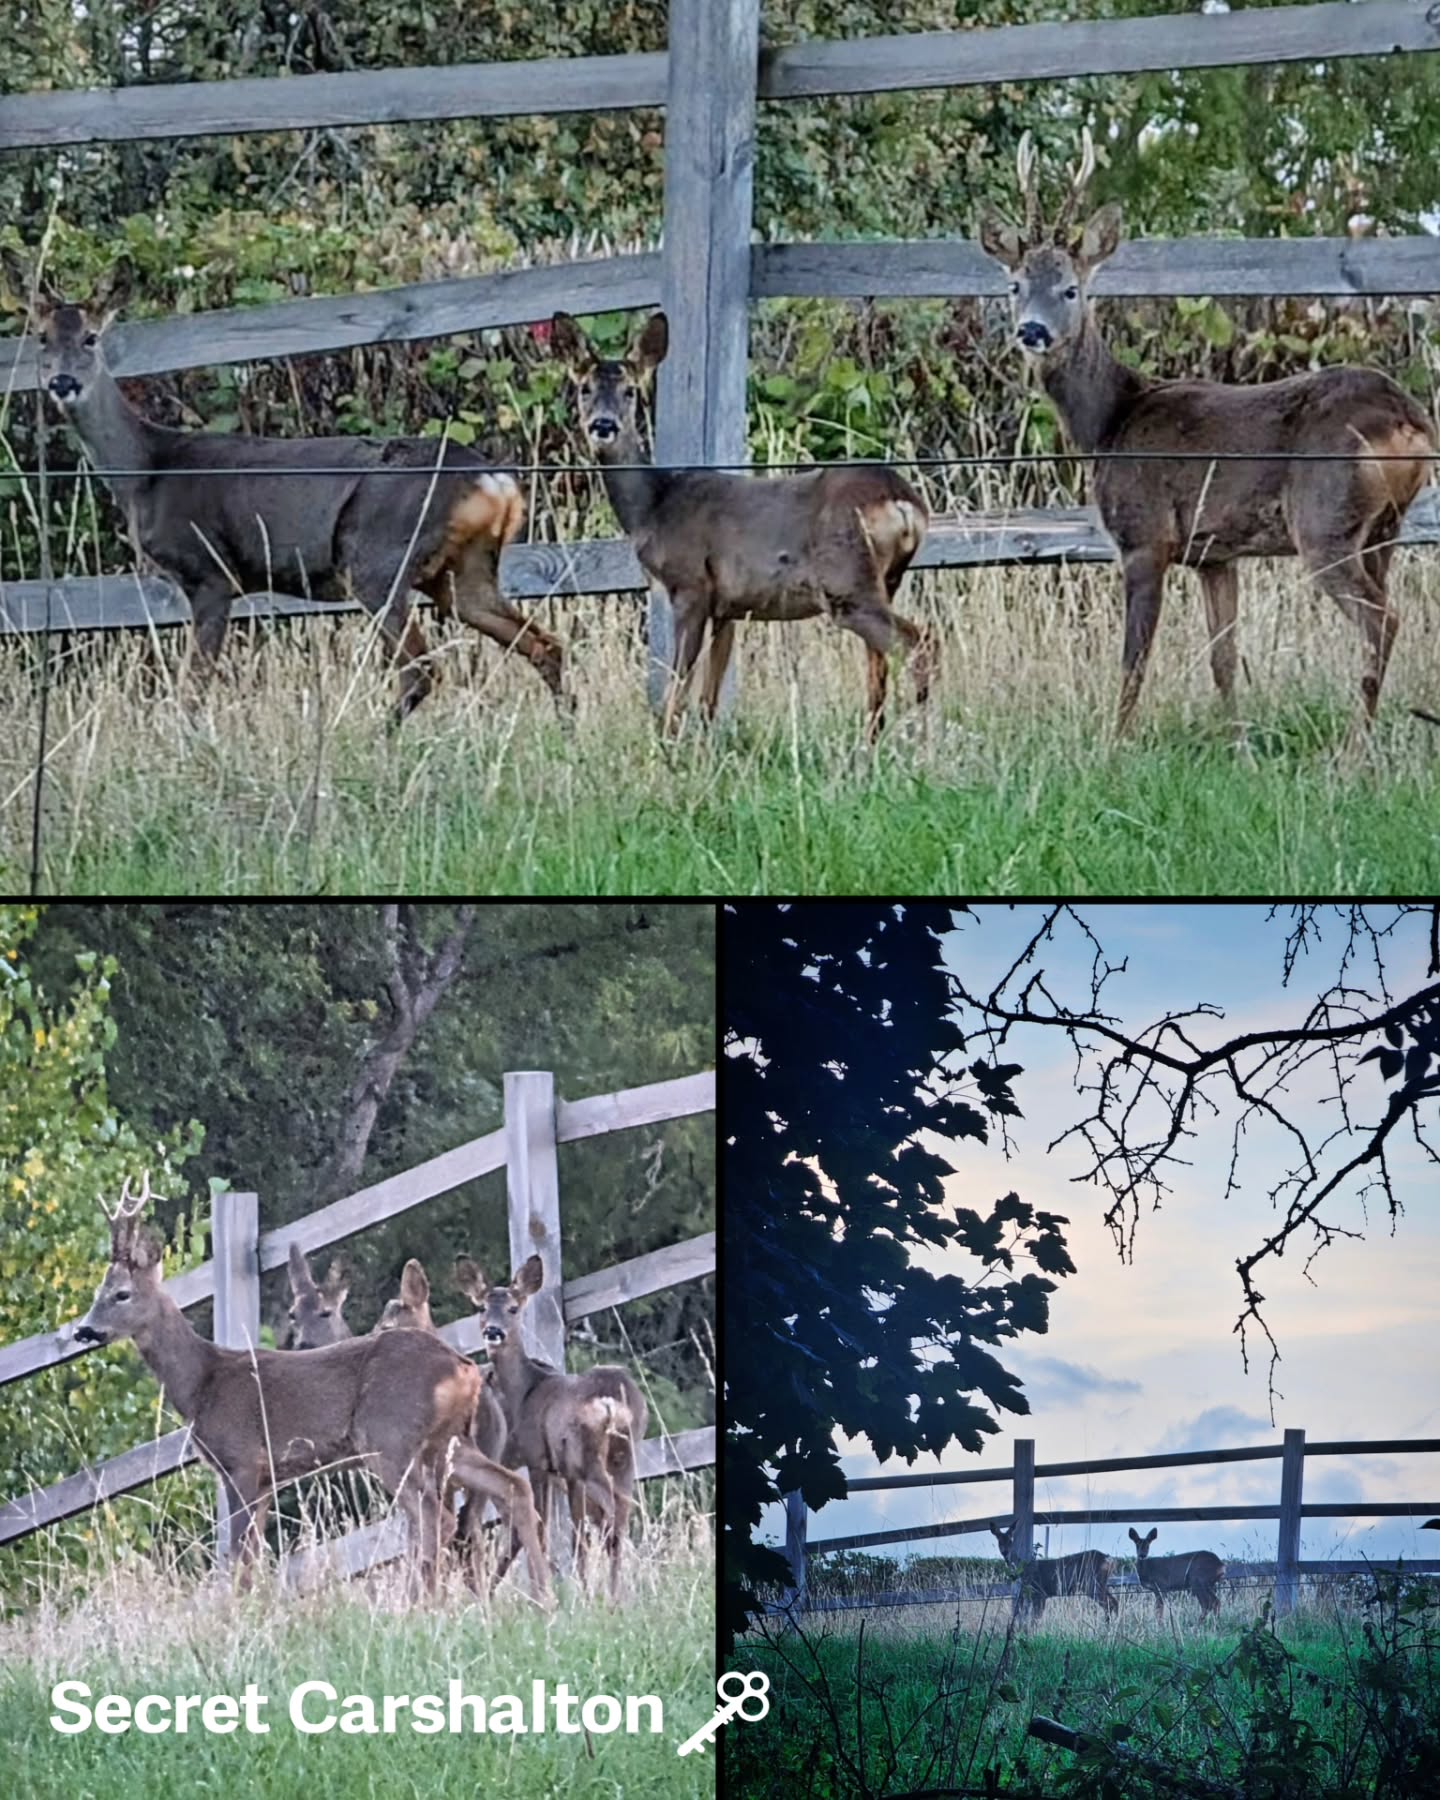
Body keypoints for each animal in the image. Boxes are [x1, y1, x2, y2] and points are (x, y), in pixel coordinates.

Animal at [2, 250, 565, 721]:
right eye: (42, 338)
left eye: (92, 338)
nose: (63, 383)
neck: (146, 470)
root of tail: (494, 480)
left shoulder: (211, 574)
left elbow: (193, 692)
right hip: (464, 571)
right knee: (544, 644)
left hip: (376, 557)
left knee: (420, 668)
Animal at [68, 1176, 550, 1600]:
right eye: (98, 1291)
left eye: (122, 1293)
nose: (84, 1330)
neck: (202, 1384)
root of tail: (464, 1367)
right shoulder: (266, 1477)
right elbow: (254, 1559)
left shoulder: (241, 1460)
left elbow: (238, 1560)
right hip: (447, 1441)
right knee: (509, 1489)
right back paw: (540, 1599)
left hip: (390, 1437)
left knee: (436, 1517)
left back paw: (423, 1606)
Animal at [456, 1252, 648, 1596]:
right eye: (481, 1308)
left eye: (513, 1308)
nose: (493, 1331)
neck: (526, 1390)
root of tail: (612, 1401)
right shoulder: (566, 1473)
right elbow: (575, 1534)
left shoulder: (538, 1459)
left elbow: (543, 1526)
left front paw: (546, 1590)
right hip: (624, 1456)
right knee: (620, 1518)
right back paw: (618, 1593)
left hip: (589, 1459)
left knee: (611, 1518)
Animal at [549, 309, 932, 740]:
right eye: (584, 388)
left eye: (630, 391)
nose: (603, 425)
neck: (653, 507)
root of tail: (903, 502)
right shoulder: (729, 607)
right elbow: (709, 699)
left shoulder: (691, 586)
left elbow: (676, 691)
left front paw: (665, 749)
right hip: (883, 581)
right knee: (881, 666)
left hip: (845, 583)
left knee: (920, 645)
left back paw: (921, 739)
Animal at [977, 131, 1436, 739]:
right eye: (1015, 284)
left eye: (1071, 289)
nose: (1032, 330)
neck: (1110, 421)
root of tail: (1408, 418)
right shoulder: (1215, 554)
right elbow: (1223, 658)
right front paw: (1237, 743)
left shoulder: (1144, 537)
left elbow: (1134, 661)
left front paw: (1114, 744)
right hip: (1385, 529)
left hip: (1324, 519)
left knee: (1381, 620)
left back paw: (1353, 748)